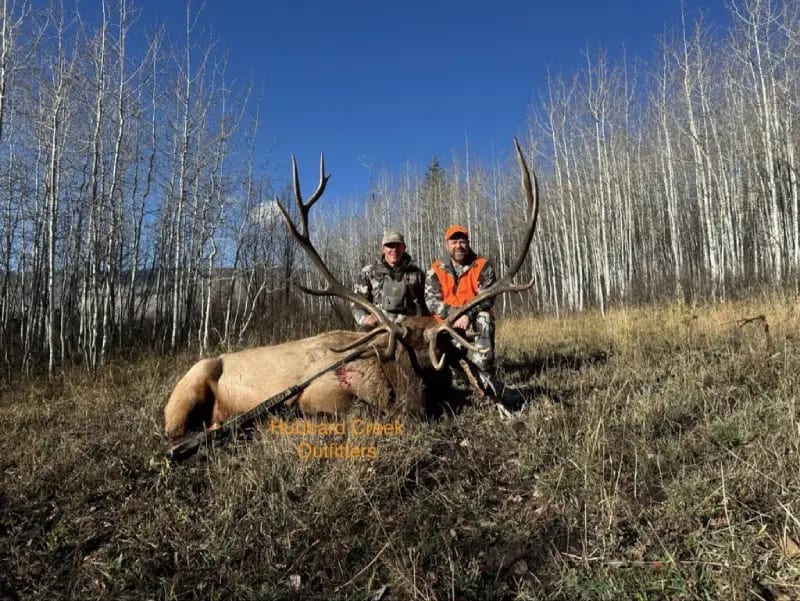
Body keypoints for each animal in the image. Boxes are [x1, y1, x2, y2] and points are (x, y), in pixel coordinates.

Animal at [163, 138, 540, 440]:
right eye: (401, 356)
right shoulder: (318, 393)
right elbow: (361, 411)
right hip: (185, 392)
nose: (412, 412)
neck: (381, 376)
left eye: (437, 362)